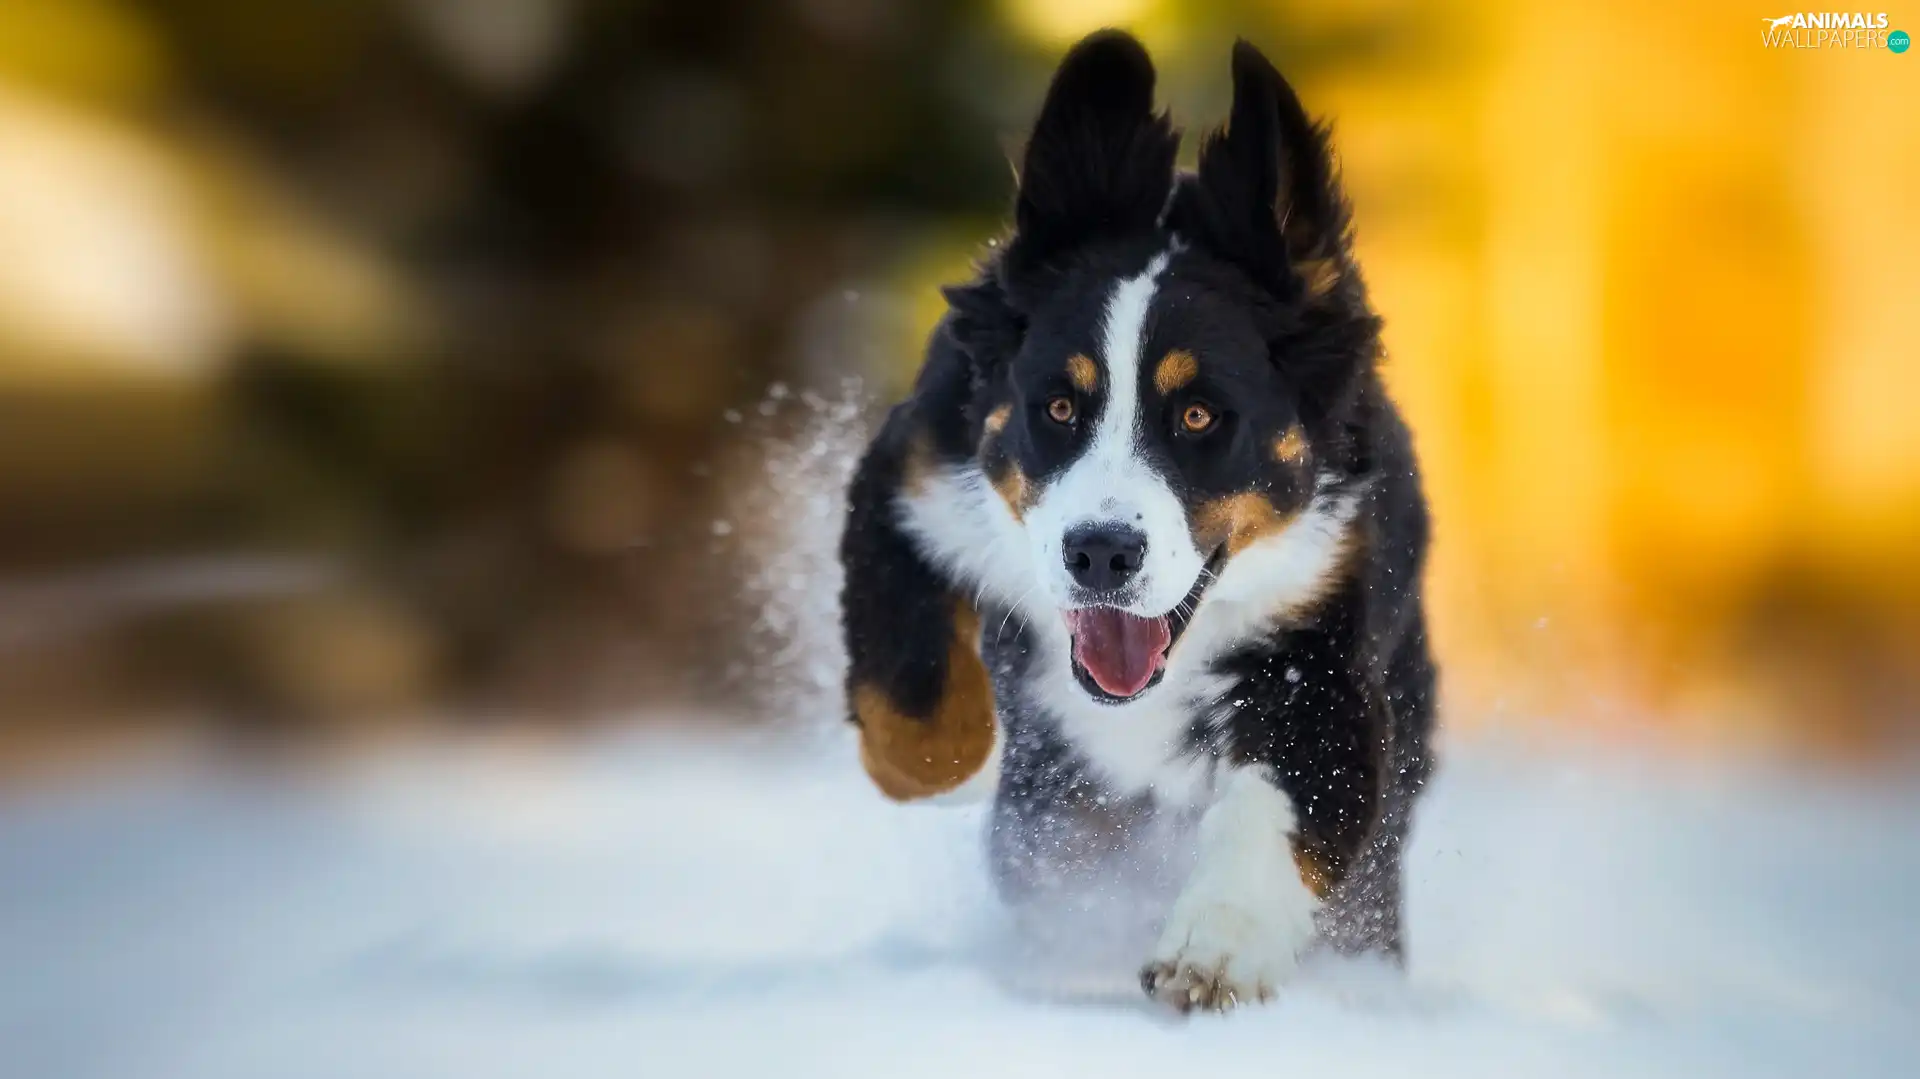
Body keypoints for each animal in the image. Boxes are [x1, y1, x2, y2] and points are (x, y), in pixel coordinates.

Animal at [833, 31, 1436, 1006]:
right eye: (1059, 406)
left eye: (1198, 415)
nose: (1100, 554)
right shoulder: (910, 476)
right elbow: (911, 698)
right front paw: (956, 771)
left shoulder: (1327, 640)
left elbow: (1283, 805)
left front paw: (1214, 949)